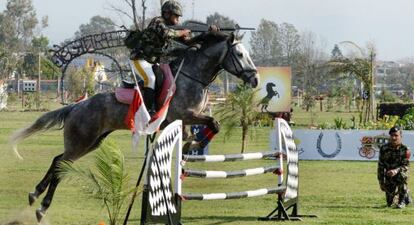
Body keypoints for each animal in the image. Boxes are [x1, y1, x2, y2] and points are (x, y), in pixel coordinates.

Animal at [10, 31, 258, 221]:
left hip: (91, 142)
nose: (255, 79)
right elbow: (213, 124)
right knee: (61, 164)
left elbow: (198, 133)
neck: (193, 76)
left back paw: (35, 193)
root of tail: (76, 106)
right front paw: (194, 148)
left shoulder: (186, 120)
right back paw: (42, 207)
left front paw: (189, 151)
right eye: (239, 54)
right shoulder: (185, 114)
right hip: (81, 141)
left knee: (57, 160)